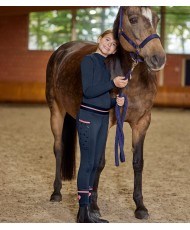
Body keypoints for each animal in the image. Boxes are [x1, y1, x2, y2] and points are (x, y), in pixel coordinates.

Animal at [45, 6, 166, 220]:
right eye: (133, 19)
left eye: (157, 19)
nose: (158, 59)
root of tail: (62, 51)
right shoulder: (106, 121)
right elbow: (99, 162)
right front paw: (93, 207)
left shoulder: (142, 122)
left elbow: (138, 163)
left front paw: (140, 207)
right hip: (56, 111)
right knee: (58, 148)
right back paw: (57, 192)